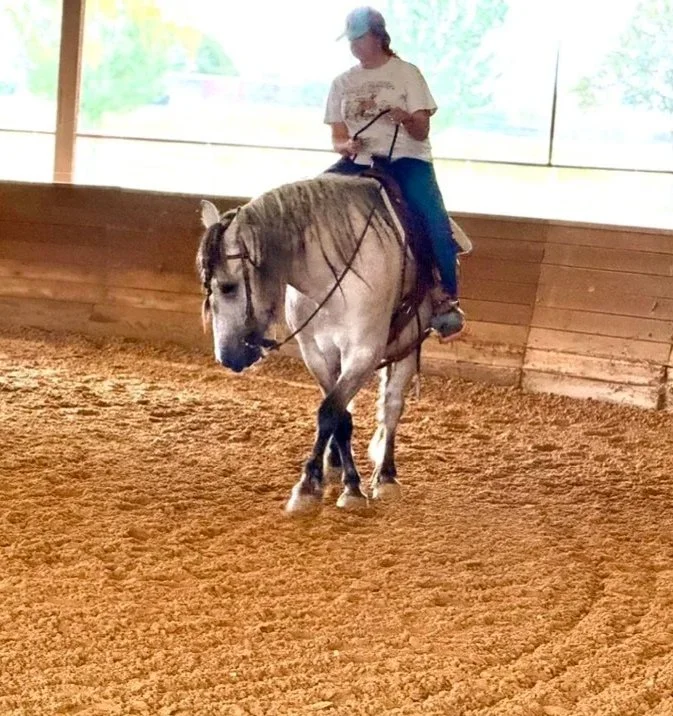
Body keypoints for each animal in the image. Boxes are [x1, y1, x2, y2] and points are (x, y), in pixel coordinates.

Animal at [196, 173, 465, 514]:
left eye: (228, 287)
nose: (226, 357)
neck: (328, 278)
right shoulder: (316, 353)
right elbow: (339, 415)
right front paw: (343, 480)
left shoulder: (363, 353)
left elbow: (329, 412)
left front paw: (310, 487)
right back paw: (336, 463)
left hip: (408, 346)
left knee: (391, 407)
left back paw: (386, 477)